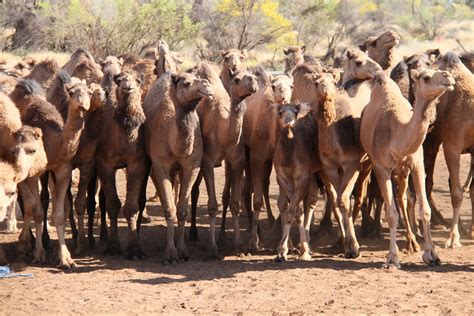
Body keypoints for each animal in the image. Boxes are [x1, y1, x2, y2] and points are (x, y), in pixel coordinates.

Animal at [9, 78, 92, 268]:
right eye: (72, 92)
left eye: (90, 92)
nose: (83, 105)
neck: (54, 141)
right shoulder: (32, 173)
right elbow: (38, 211)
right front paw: (39, 254)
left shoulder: (62, 170)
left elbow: (59, 213)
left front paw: (65, 258)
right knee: (27, 201)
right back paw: (25, 242)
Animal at [95, 69, 149, 260]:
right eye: (119, 80)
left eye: (138, 81)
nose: (128, 87)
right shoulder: (104, 163)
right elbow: (113, 205)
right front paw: (113, 246)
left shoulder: (137, 163)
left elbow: (131, 207)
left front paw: (135, 249)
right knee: (102, 198)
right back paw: (103, 238)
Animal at [143, 71, 213, 262]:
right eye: (186, 83)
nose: (207, 85)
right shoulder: (160, 165)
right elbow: (169, 208)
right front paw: (170, 253)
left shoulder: (192, 167)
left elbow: (182, 210)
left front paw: (183, 250)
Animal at [360, 68, 456, 268]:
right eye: (426, 77)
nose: (448, 76)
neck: (397, 140)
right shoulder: (381, 169)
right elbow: (391, 214)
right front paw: (392, 259)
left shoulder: (417, 166)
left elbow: (424, 209)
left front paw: (432, 254)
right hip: (384, 170)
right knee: (397, 200)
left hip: (403, 174)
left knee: (404, 198)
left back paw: (412, 242)